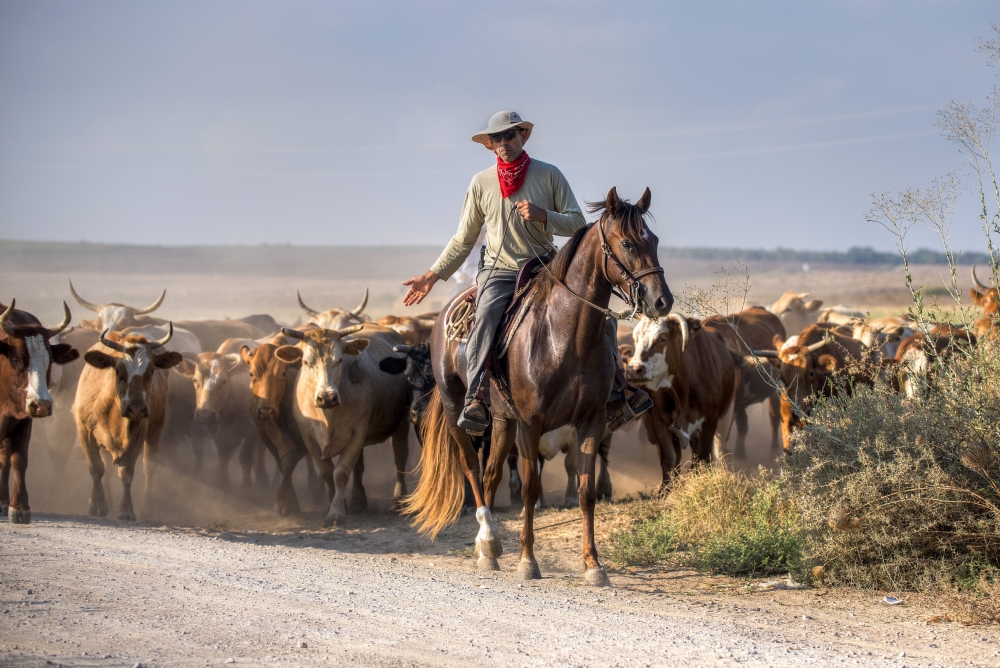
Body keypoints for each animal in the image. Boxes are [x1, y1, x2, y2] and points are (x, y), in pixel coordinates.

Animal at [0, 300, 77, 524]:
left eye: (49, 361)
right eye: (16, 360)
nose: (42, 404)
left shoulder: (23, 420)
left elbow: (19, 460)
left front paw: (19, 507)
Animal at [75, 324, 184, 520]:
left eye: (151, 372)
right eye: (118, 371)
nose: (137, 409)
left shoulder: (138, 434)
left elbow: (126, 473)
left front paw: (126, 510)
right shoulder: (85, 431)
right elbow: (97, 469)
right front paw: (97, 505)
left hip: (156, 429)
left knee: (149, 466)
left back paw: (147, 508)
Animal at [404, 188, 672, 584]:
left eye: (653, 240)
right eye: (626, 242)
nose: (661, 300)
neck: (565, 335)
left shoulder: (590, 422)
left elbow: (585, 491)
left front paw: (593, 565)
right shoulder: (531, 425)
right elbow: (531, 489)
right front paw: (528, 561)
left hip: (502, 420)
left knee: (491, 474)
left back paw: (489, 549)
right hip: (458, 412)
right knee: (472, 469)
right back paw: (487, 539)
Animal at [628, 314, 740, 486]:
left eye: (662, 338)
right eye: (636, 338)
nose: (633, 370)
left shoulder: (710, 420)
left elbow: (704, 457)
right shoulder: (660, 422)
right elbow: (669, 460)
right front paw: (666, 490)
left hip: (725, 418)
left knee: (717, 451)